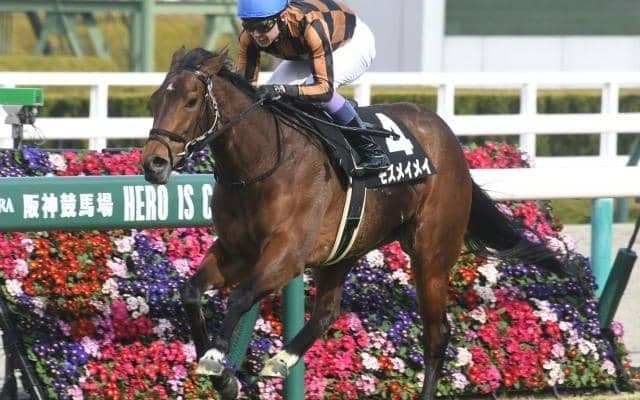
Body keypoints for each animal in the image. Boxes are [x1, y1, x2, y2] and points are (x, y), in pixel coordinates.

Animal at [141, 47, 575, 399]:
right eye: (154, 99)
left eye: (191, 101)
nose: (154, 163)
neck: (261, 164)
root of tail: (448, 136)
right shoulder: (235, 251)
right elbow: (191, 293)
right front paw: (225, 378)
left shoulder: (286, 254)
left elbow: (241, 296)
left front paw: (216, 359)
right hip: (345, 249)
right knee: (327, 312)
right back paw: (282, 359)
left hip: (431, 254)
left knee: (437, 334)